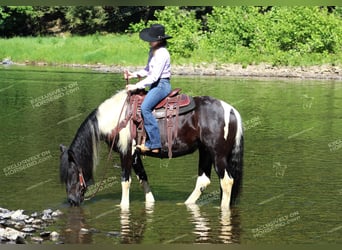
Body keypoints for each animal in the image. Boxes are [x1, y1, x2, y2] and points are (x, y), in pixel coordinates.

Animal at [60, 89, 244, 210]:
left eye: (71, 173)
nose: (72, 201)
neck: (116, 118)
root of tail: (232, 110)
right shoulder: (135, 154)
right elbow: (143, 178)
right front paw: (150, 203)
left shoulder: (126, 152)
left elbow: (125, 181)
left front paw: (123, 206)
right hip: (205, 151)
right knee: (203, 180)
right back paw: (186, 203)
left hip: (217, 154)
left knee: (227, 181)